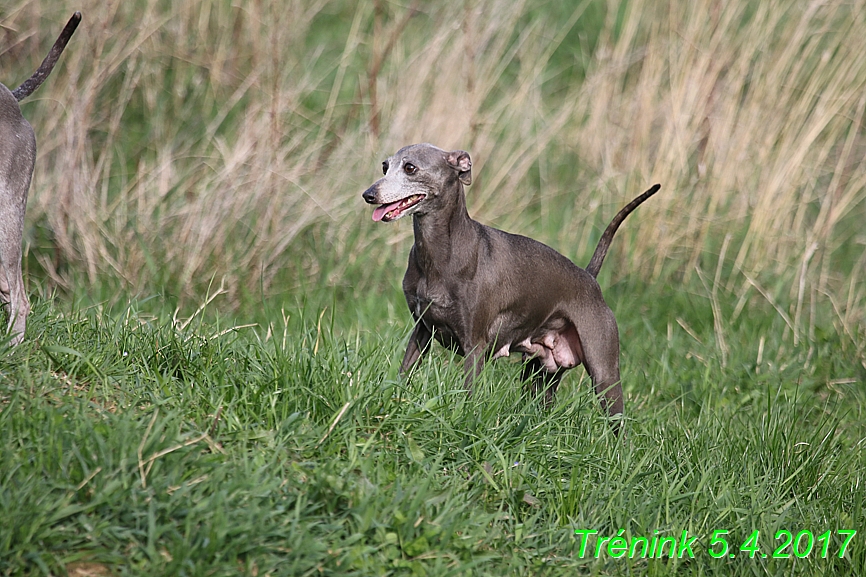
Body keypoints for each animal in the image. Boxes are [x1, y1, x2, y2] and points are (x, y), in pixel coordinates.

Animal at [362, 143, 660, 432]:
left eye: (410, 168)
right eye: (385, 166)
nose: (368, 194)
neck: (441, 253)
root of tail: (590, 279)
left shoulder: (474, 346)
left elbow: (467, 394)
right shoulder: (421, 331)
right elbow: (403, 375)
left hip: (604, 373)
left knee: (618, 425)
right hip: (540, 375)